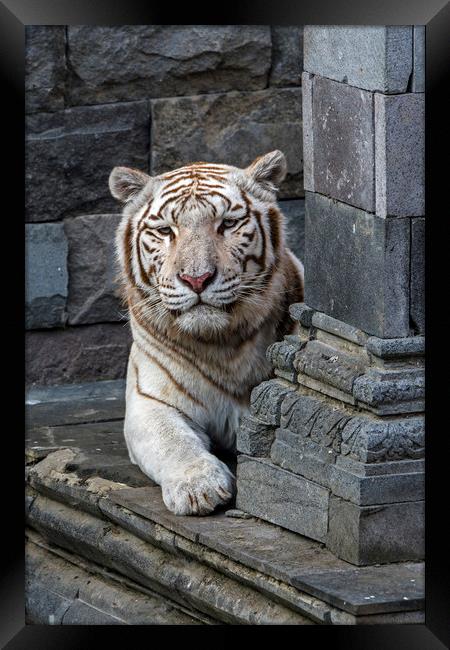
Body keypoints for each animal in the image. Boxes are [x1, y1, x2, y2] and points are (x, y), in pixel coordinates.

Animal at [108, 149, 302, 512]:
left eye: (227, 224)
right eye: (165, 230)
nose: (196, 279)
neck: (222, 345)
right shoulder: (149, 400)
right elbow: (173, 441)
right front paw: (199, 488)